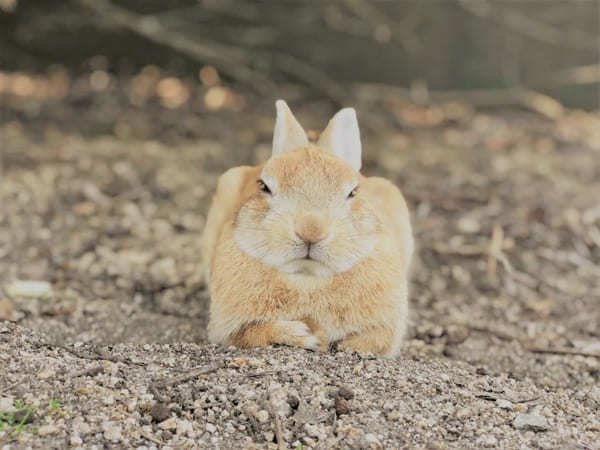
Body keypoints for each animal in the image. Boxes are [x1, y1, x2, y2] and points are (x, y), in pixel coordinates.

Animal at [202, 100, 412, 356]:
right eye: (264, 186)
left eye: (353, 192)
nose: (311, 230)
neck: (307, 278)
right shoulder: (231, 329)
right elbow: (252, 334)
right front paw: (305, 336)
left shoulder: (386, 328)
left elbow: (373, 341)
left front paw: (338, 345)